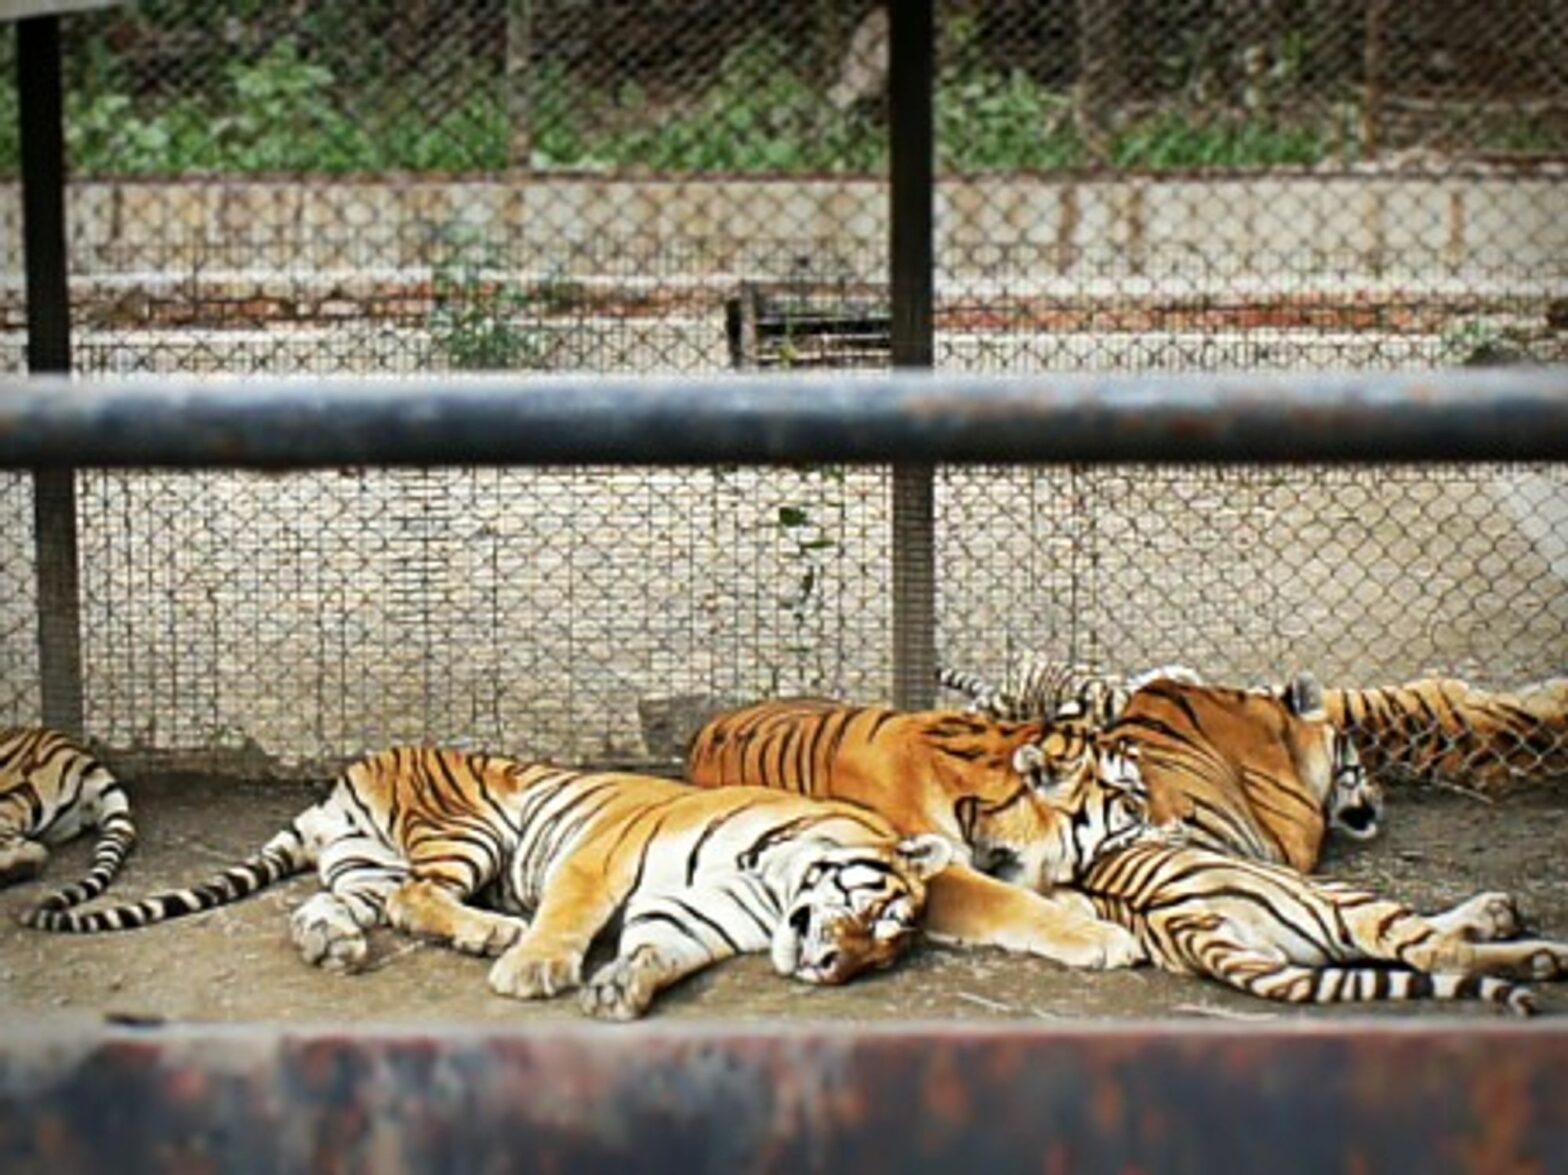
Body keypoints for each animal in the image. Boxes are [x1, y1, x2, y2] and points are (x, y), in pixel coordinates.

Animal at [25, 746, 953, 1021]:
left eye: (883, 952)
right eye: (874, 909)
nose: (832, 967)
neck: (770, 886)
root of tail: (340, 783)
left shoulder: (688, 912)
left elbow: (659, 951)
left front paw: (620, 987)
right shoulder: (603, 854)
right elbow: (569, 917)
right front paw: (536, 969)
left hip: (362, 864)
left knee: (341, 904)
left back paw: (334, 944)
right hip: (466, 831)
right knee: (415, 897)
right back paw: (497, 933)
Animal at [684, 699, 1151, 970]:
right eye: (1133, 800)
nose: (1164, 827)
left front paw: (1075, 900)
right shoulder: (933, 870)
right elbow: (1010, 900)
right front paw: (1104, 937)